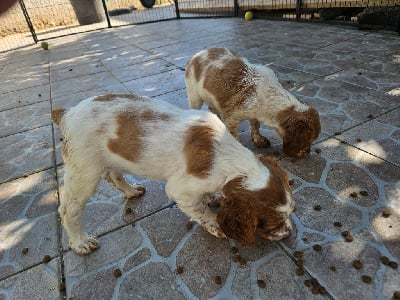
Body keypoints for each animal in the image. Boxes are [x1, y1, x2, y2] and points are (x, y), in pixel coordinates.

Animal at [51, 94, 296, 255]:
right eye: (273, 225)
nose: (290, 233)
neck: (225, 155)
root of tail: (67, 113)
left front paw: (213, 198)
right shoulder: (181, 190)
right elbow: (201, 212)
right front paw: (216, 225)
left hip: (109, 159)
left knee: (113, 175)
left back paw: (132, 191)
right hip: (84, 171)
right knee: (68, 210)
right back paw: (81, 242)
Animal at [185, 47, 322, 157]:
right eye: (308, 140)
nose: (307, 154)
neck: (270, 93)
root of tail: (197, 55)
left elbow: (255, 124)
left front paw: (258, 139)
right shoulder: (232, 118)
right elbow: (235, 136)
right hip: (195, 97)